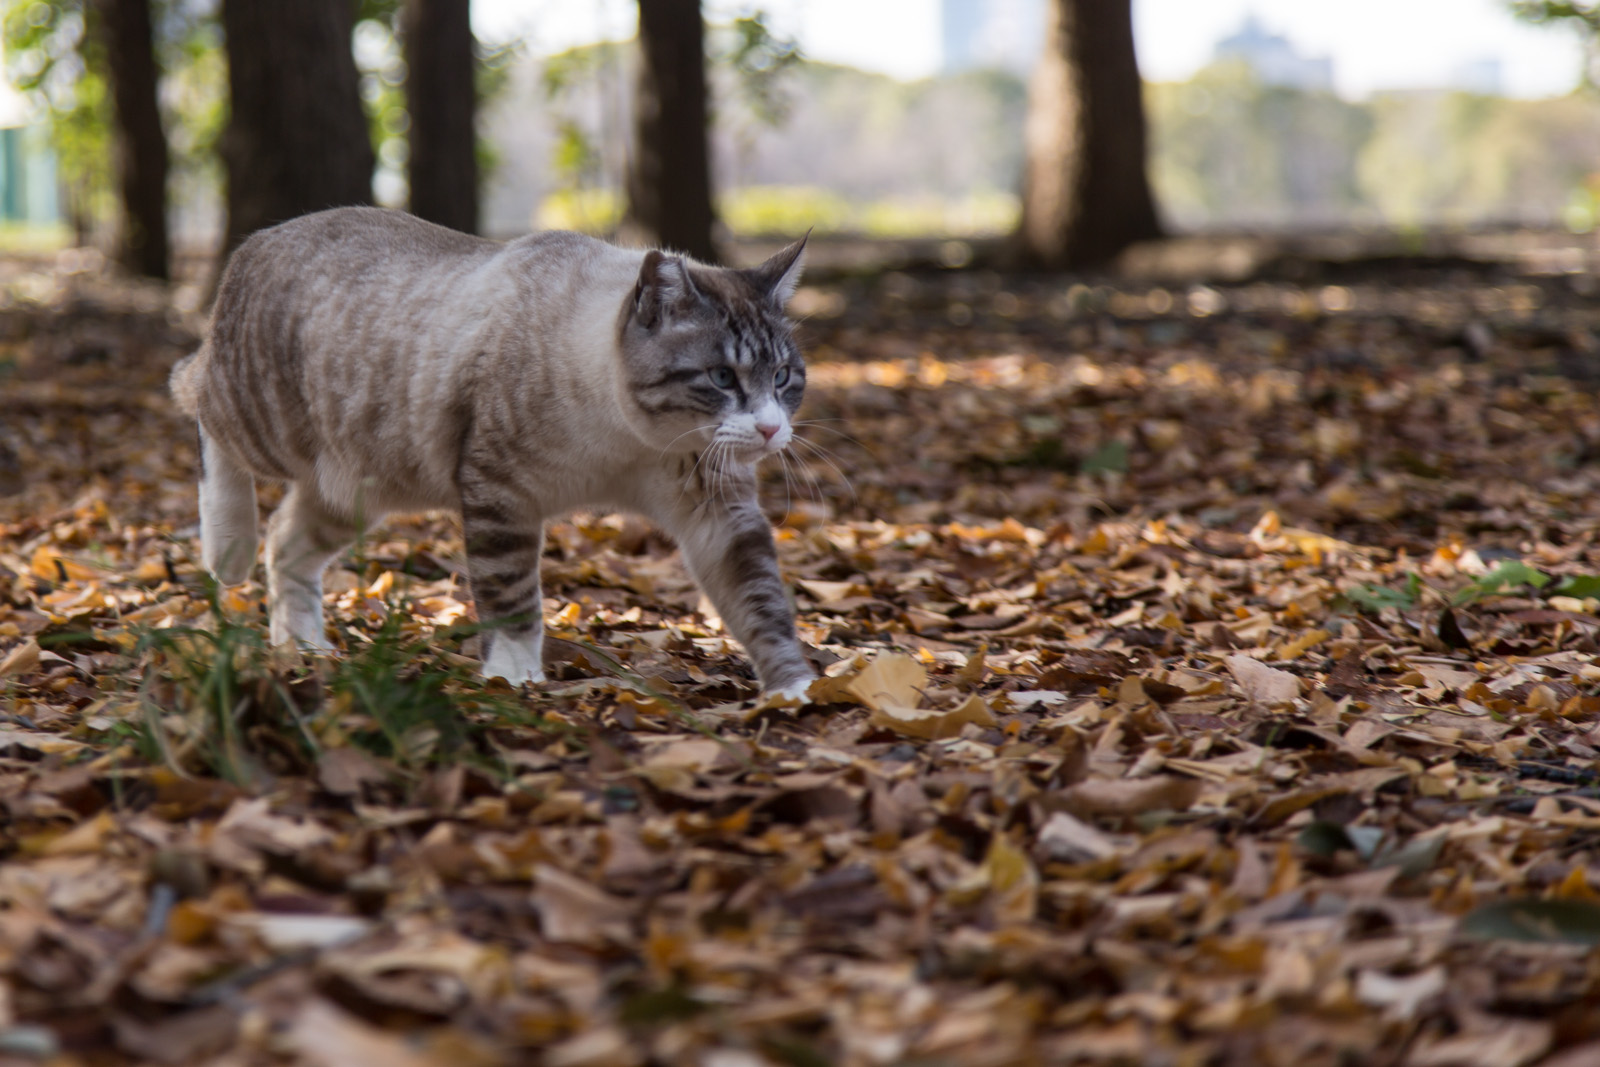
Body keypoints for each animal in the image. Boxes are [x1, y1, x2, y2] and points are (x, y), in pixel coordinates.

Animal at [170, 207, 819, 700]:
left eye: (784, 377)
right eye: (721, 377)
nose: (770, 430)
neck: (629, 444)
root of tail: (264, 233)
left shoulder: (719, 511)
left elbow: (761, 599)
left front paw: (795, 692)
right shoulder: (500, 491)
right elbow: (511, 595)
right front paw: (515, 678)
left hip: (358, 487)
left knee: (286, 541)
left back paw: (302, 646)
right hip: (262, 424)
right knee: (194, 395)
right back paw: (227, 548)